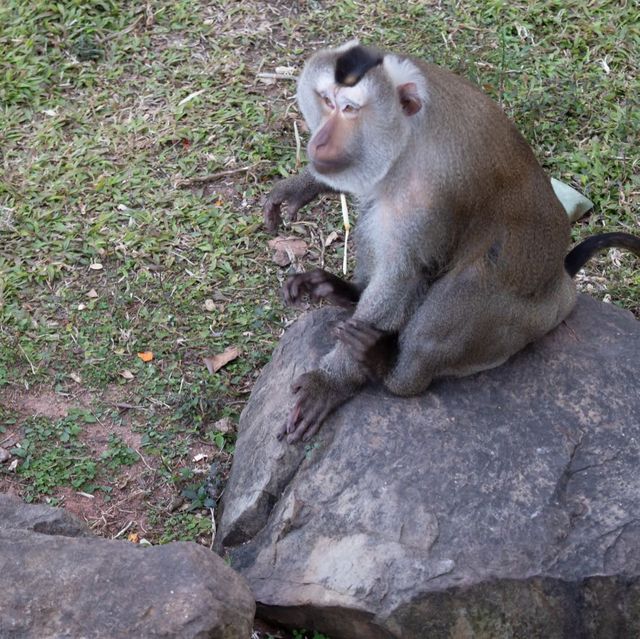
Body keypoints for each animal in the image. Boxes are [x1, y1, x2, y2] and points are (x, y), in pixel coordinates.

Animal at [264, 41, 640, 444]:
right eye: (326, 101)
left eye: (349, 109)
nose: (319, 141)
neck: (410, 135)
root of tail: (563, 284)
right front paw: (303, 185)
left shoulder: (430, 195)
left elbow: (405, 274)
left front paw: (332, 382)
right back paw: (348, 292)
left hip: (524, 322)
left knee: (468, 283)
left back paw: (389, 370)